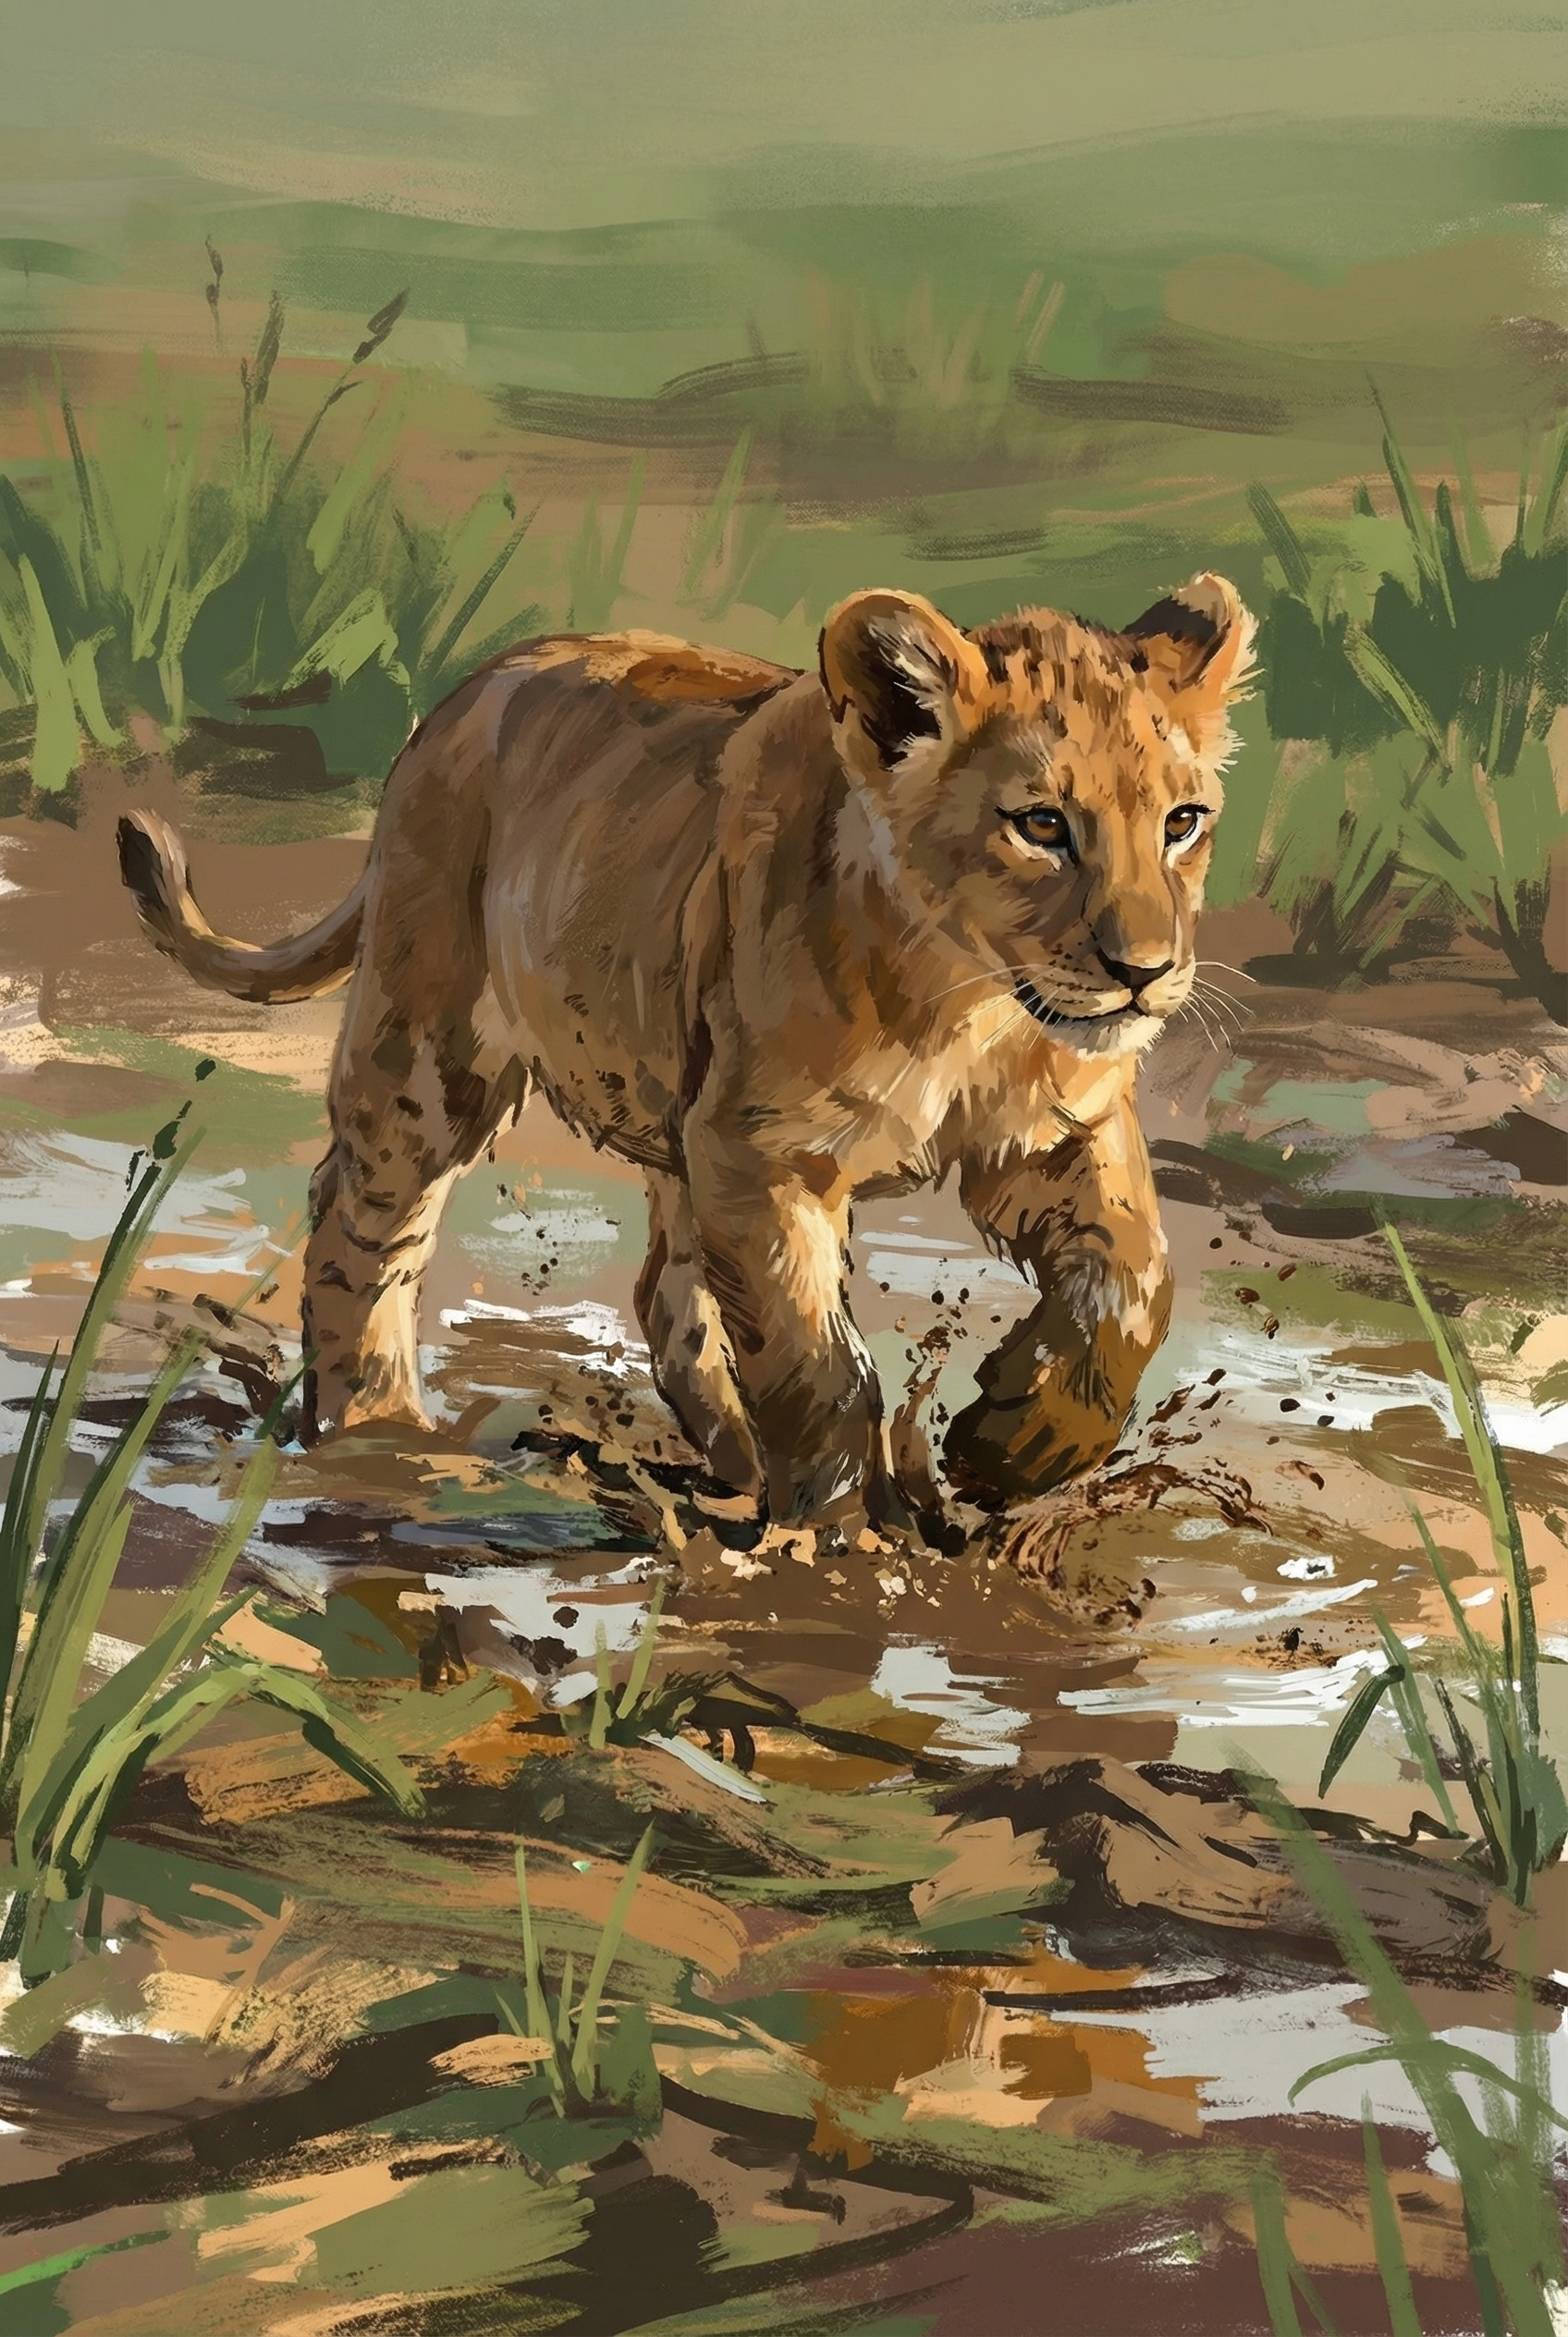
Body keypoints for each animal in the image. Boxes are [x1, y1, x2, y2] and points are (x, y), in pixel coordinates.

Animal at [117, 574, 1253, 1533]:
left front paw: (1012, 1446)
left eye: (1183, 821)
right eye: (1042, 825)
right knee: (363, 1221)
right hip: (434, 1050)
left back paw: (732, 1465)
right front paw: (849, 1538)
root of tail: (459, 699)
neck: (974, 1006)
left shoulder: (1056, 1136)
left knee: (664, 1293)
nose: (1146, 971)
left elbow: (1134, 1283)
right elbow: (814, 1360)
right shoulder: (761, 1150)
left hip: (671, 1112)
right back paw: (379, 1435)